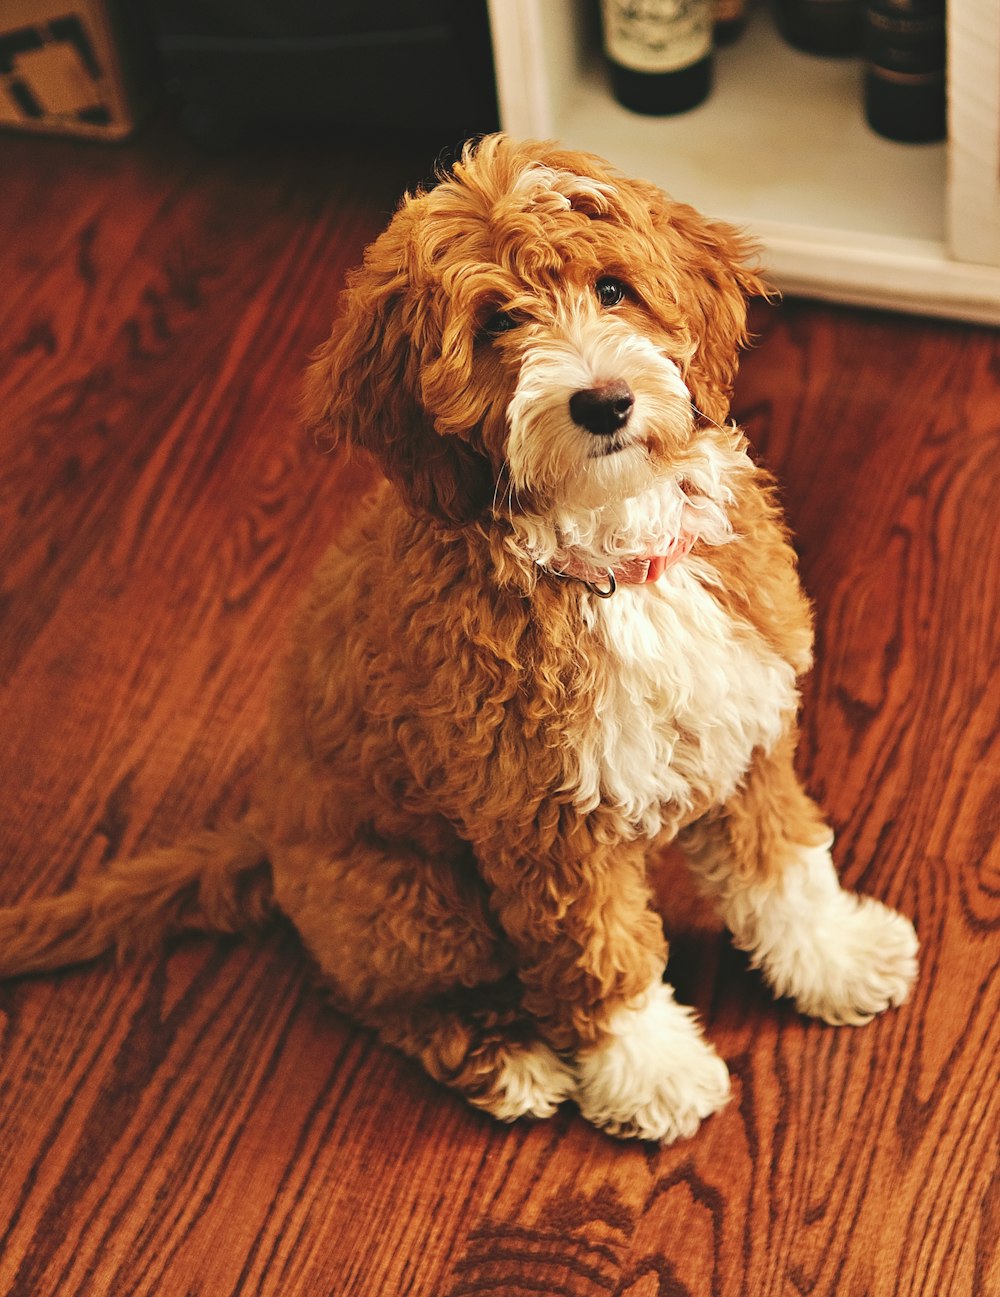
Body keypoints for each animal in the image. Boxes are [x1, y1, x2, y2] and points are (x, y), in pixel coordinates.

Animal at [0, 136, 918, 1141]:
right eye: (496, 325)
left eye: (612, 289)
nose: (605, 403)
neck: (607, 554)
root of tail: (265, 837)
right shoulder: (546, 821)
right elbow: (602, 955)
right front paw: (649, 1069)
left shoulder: (741, 725)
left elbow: (781, 862)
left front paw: (833, 956)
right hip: (413, 905)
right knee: (382, 999)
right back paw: (504, 1057)